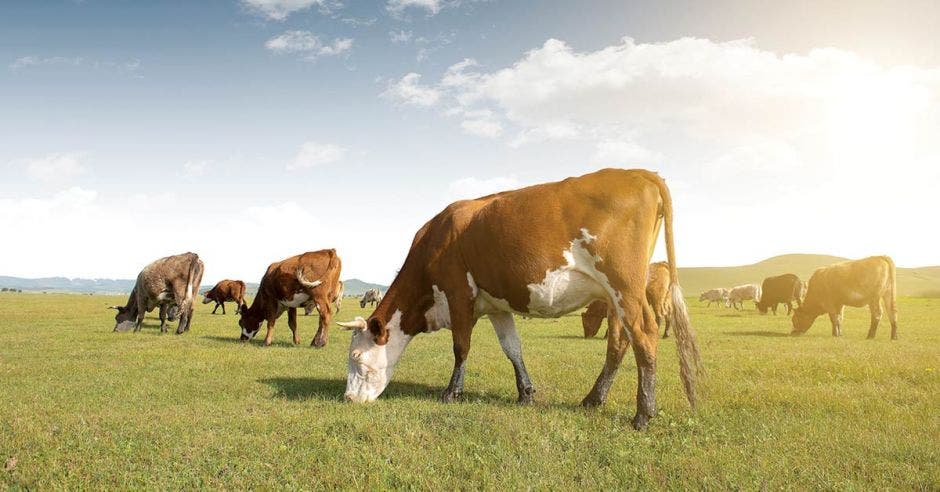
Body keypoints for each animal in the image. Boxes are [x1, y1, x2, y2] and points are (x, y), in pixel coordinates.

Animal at [336, 169, 696, 430]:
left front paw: (452, 392)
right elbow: (512, 348)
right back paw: (594, 399)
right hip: (614, 296)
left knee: (645, 335)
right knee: (619, 341)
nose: (348, 399)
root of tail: (641, 173)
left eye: (356, 356)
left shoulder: (458, 294)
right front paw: (526, 393)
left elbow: (461, 347)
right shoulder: (497, 306)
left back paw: (643, 414)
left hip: (625, 286)